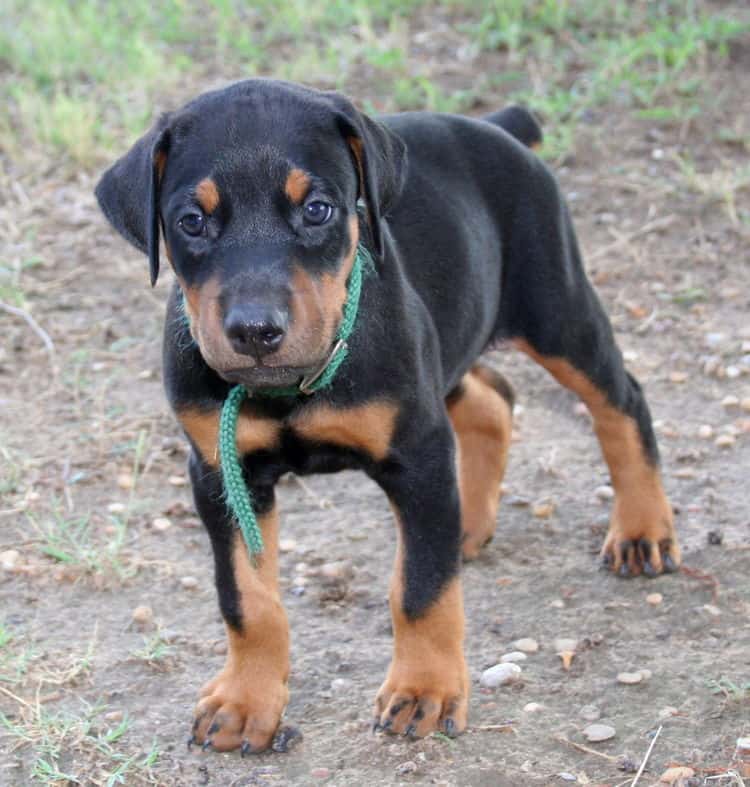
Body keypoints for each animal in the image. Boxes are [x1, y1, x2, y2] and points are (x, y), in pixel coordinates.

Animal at [95, 78, 680, 752]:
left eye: (317, 210)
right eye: (191, 222)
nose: (254, 331)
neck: (293, 388)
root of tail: (497, 127)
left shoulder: (418, 454)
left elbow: (421, 587)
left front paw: (425, 689)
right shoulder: (220, 473)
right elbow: (246, 598)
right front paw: (246, 700)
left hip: (556, 312)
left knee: (621, 402)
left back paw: (641, 529)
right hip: (448, 348)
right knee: (491, 399)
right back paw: (467, 522)